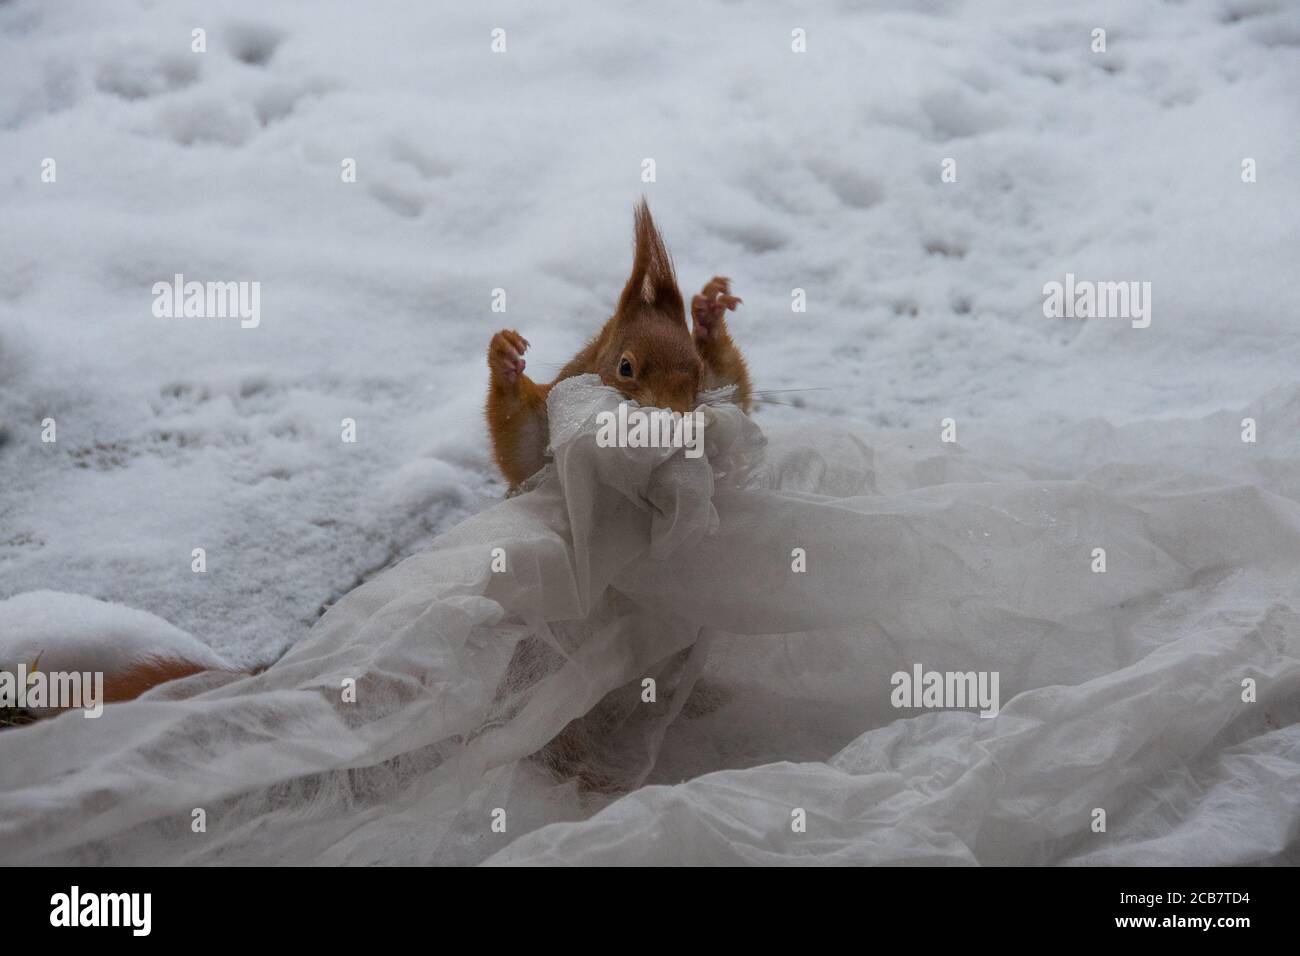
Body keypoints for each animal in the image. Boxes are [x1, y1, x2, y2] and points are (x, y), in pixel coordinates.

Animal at [488, 197, 754, 489]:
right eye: (625, 367)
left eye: (701, 371)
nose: (674, 414)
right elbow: (525, 448)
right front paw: (506, 358)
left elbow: (733, 397)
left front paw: (709, 313)